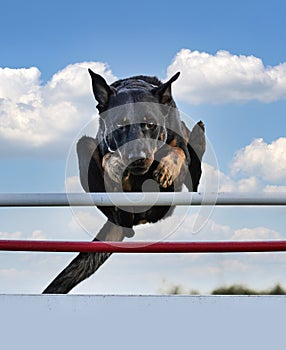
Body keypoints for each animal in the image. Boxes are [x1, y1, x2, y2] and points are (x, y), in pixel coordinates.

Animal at [42, 68, 206, 292]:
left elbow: (177, 151)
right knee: (119, 213)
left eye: (151, 124)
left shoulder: (178, 143)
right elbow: (108, 157)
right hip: (83, 147)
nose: (136, 157)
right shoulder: (103, 142)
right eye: (120, 125)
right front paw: (116, 165)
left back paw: (197, 136)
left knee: (192, 171)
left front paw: (165, 168)